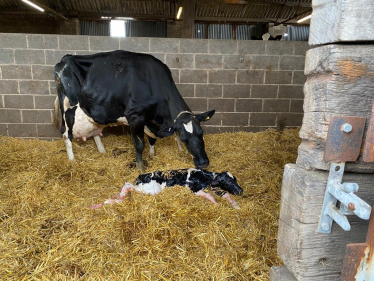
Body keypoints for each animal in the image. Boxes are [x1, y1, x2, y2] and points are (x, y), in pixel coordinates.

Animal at [53, 50, 215, 171]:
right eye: (183, 138)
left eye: (202, 133)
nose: (203, 163)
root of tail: (66, 58)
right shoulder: (135, 116)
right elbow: (139, 144)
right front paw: (140, 167)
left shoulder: (149, 118)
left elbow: (151, 139)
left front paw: (151, 154)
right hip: (68, 108)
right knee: (66, 134)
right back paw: (72, 160)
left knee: (94, 130)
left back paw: (102, 151)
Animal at [90, 167, 243, 209]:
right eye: (229, 181)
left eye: (235, 179)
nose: (241, 191)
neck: (205, 177)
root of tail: (141, 176)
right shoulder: (194, 189)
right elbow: (209, 196)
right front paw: (216, 204)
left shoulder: (214, 188)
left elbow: (226, 195)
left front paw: (236, 206)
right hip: (151, 189)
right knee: (127, 185)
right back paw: (109, 201)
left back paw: (113, 198)